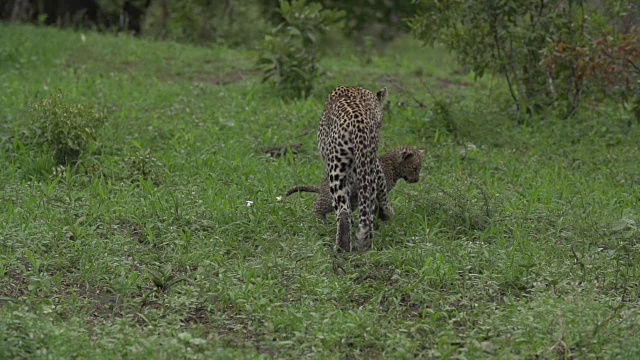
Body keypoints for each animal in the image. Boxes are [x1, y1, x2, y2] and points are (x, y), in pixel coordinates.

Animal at [316, 86, 388, 252]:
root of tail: (358, 119)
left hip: (337, 168)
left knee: (343, 212)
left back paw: (341, 248)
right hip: (367, 169)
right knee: (368, 211)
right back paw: (366, 245)